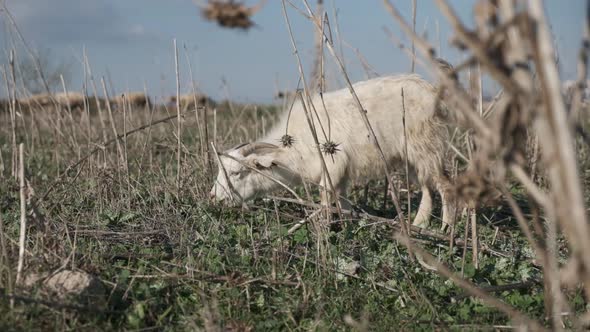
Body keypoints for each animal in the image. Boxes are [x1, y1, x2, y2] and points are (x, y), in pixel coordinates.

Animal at [210, 74, 460, 231]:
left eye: (236, 173)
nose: (213, 197)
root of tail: (432, 90)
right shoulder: (341, 172)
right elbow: (343, 200)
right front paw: (349, 225)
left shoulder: (331, 165)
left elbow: (324, 197)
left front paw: (325, 227)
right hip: (414, 156)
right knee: (427, 188)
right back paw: (419, 225)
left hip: (426, 145)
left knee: (446, 186)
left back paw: (446, 230)